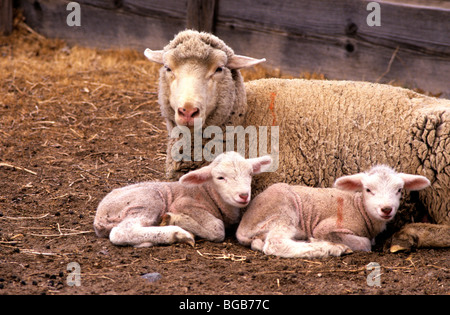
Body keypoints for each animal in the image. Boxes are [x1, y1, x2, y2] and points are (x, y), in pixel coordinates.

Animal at [93, 152, 272, 248]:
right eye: (220, 177)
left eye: (250, 174)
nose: (243, 195)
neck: (208, 193)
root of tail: (99, 215)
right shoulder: (183, 203)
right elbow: (217, 228)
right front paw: (176, 219)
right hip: (147, 200)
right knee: (121, 232)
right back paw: (177, 233)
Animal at [236, 165, 428, 260]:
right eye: (368, 189)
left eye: (399, 190)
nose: (386, 209)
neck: (360, 208)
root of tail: (243, 226)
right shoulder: (327, 227)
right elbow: (365, 243)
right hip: (283, 210)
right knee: (275, 243)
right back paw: (329, 248)